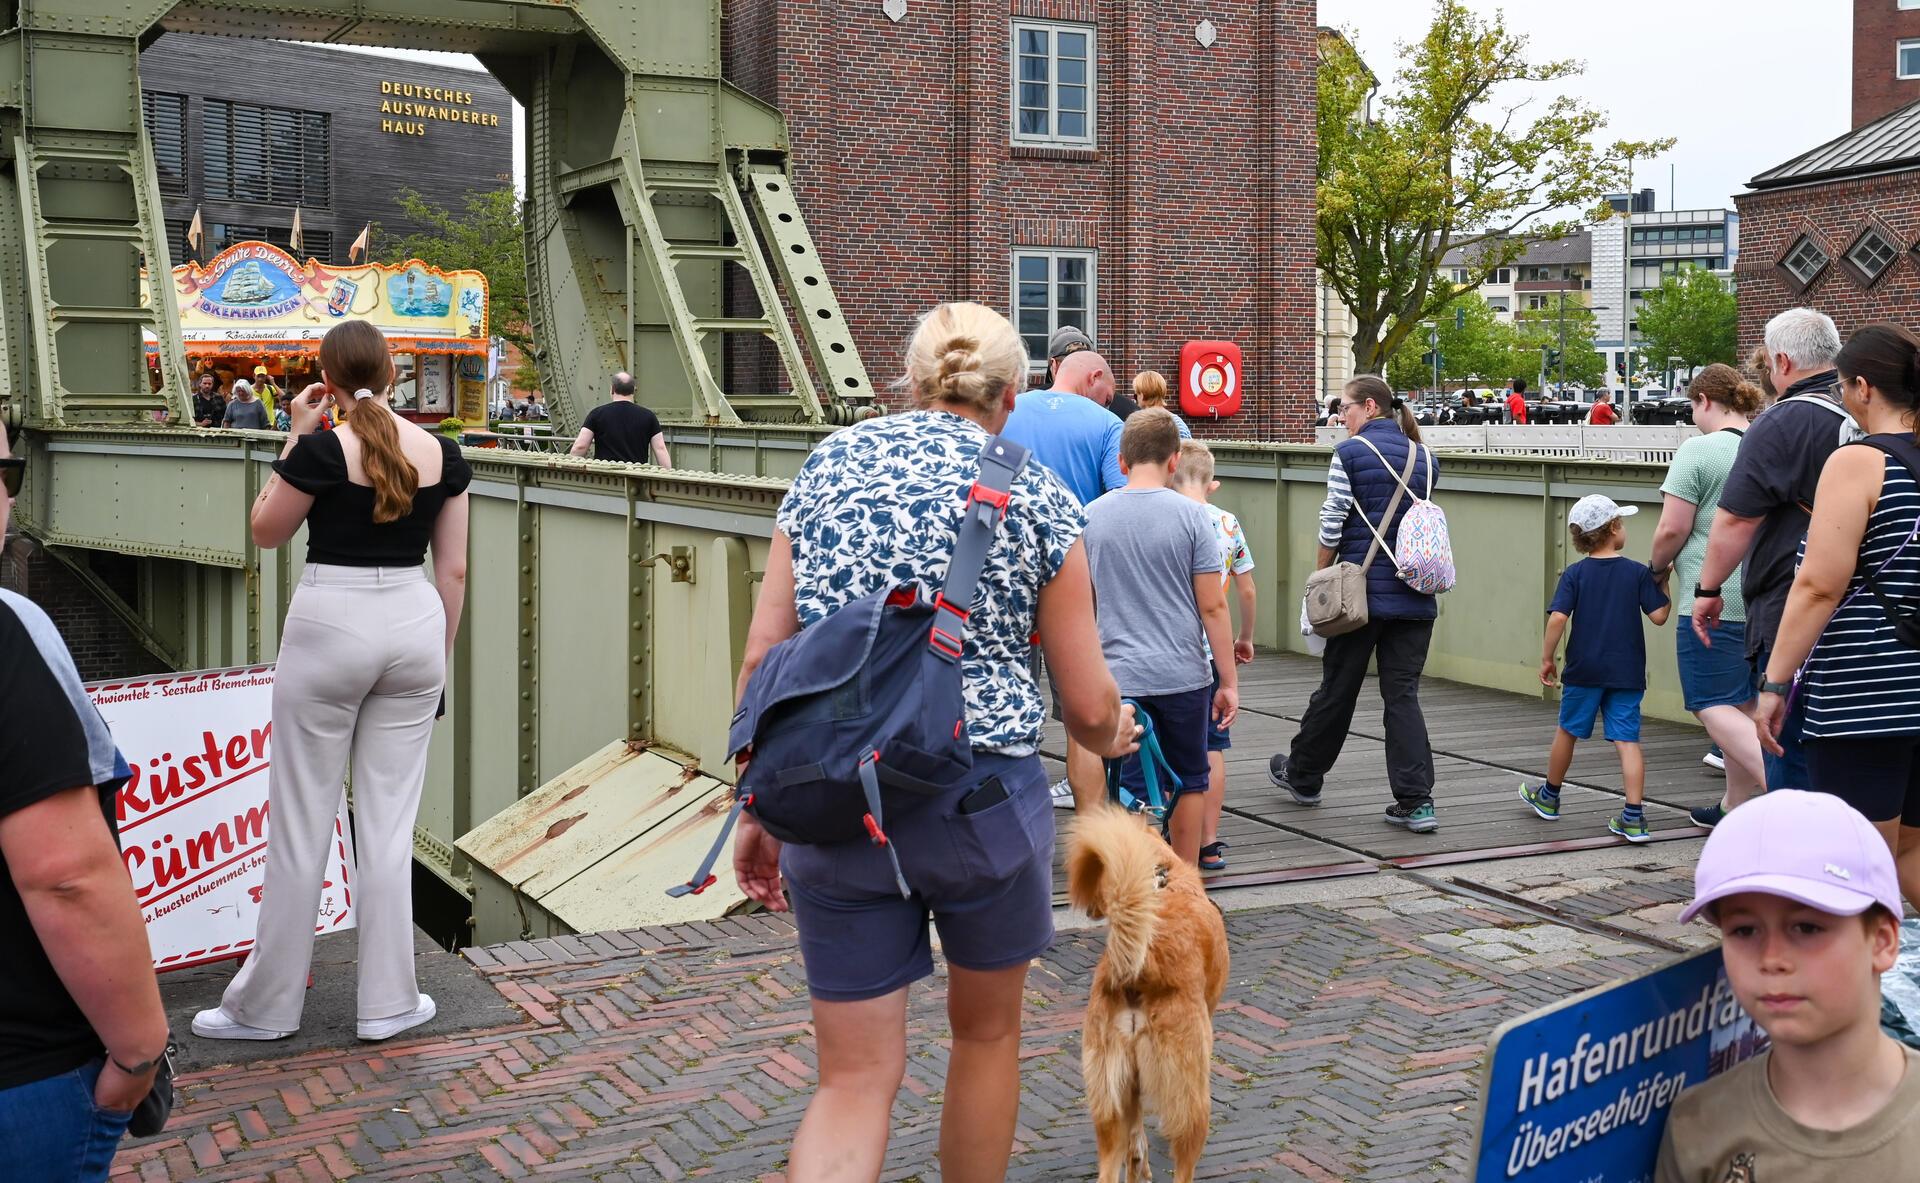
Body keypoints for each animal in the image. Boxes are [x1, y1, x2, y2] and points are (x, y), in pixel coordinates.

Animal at [1067, 802, 1228, 1183]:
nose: (1088, 910)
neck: (1162, 880)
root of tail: (1141, 969)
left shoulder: (1132, 1086)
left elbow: (1136, 1138)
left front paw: (1139, 1163)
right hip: (1191, 1102)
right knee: (1183, 1169)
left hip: (1109, 1102)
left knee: (1113, 1165)